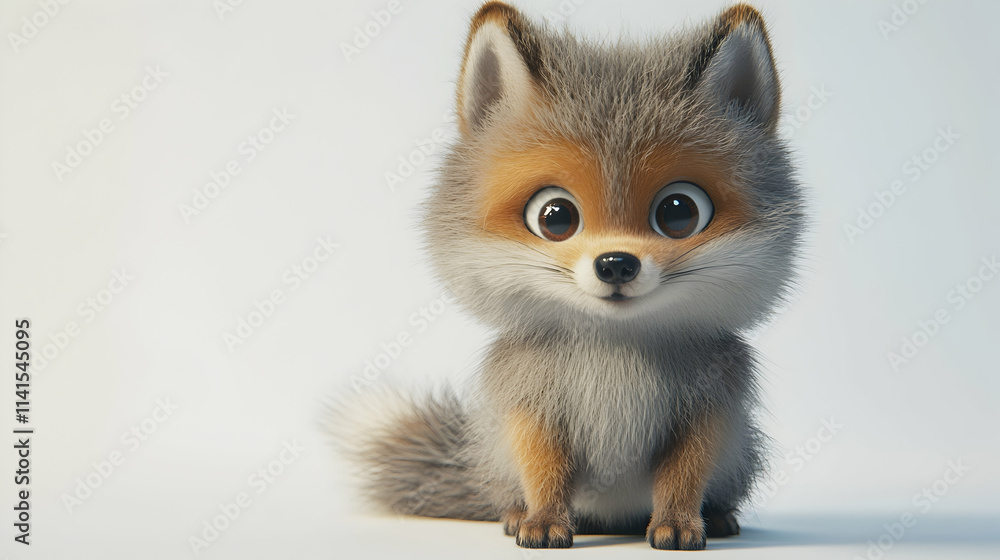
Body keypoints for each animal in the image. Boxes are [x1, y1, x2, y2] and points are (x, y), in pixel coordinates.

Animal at [334, 1, 804, 551]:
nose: (616, 263)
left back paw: (722, 517)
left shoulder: (709, 411)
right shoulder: (529, 406)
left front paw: (679, 523)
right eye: (555, 216)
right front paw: (541, 521)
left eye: (679, 212)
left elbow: (683, 477)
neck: (616, 352)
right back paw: (513, 514)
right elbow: (544, 472)